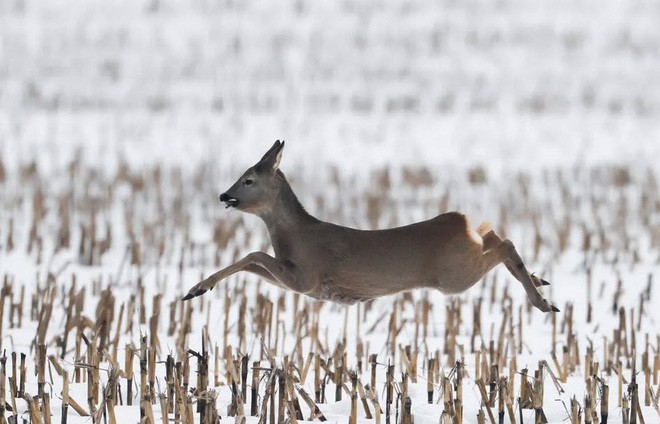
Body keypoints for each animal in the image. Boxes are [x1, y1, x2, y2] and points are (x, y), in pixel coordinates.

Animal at [183, 141, 560, 314]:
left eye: (248, 179)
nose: (224, 195)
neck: (295, 236)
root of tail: (459, 220)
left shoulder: (306, 277)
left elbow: (253, 254)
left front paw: (196, 289)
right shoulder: (298, 281)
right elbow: (253, 263)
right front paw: (198, 288)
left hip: (455, 277)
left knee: (503, 243)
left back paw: (544, 302)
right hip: (463, 261)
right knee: (492, 234)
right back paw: (540, 282)